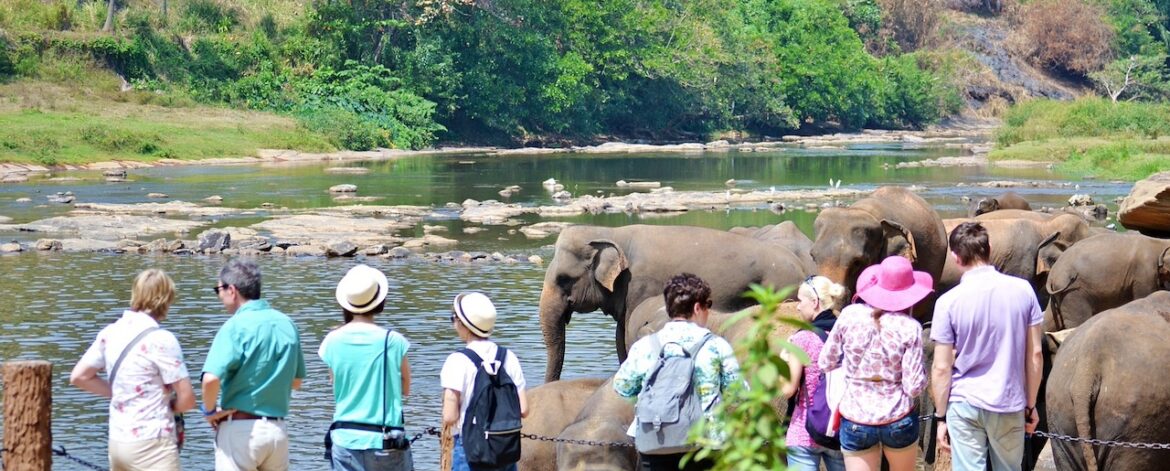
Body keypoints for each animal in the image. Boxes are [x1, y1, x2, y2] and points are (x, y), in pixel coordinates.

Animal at [540, 225, 809, 383]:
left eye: (563, 279)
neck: (611, 232)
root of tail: (801, 267)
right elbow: (620, 337)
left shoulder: (640, 285)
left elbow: (627, 335)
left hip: (779, 286)